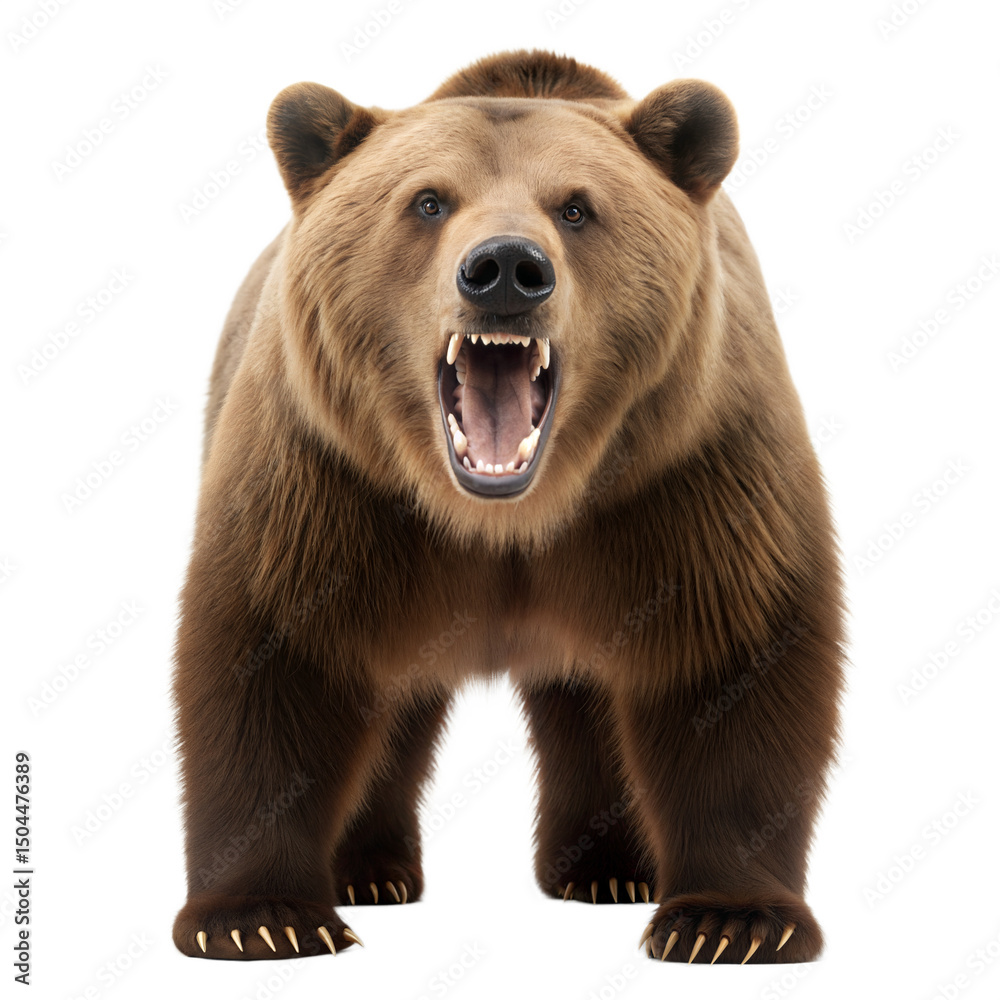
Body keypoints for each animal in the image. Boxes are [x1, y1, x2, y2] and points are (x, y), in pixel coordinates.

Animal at [172, 49, 844, 966]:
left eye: (576, 206)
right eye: (428, 200)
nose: (504, 270)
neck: (506, 517)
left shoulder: (685, 474)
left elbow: (728, 657)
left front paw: (729, 922)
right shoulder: (332, 481)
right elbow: (278, 656)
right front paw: (262, 916)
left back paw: (608, 871)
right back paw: (370, 874)